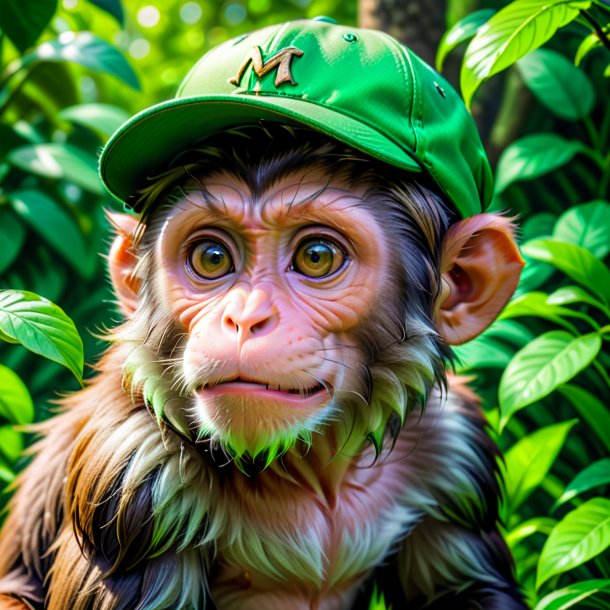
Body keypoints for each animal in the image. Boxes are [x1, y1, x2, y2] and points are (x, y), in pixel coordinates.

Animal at [0, 17, 524, 608]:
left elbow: (471, 589)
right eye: (211, 258)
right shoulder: (131, 475)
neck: (305, 469)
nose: (245, 319)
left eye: (317, 256)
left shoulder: (455, 451)